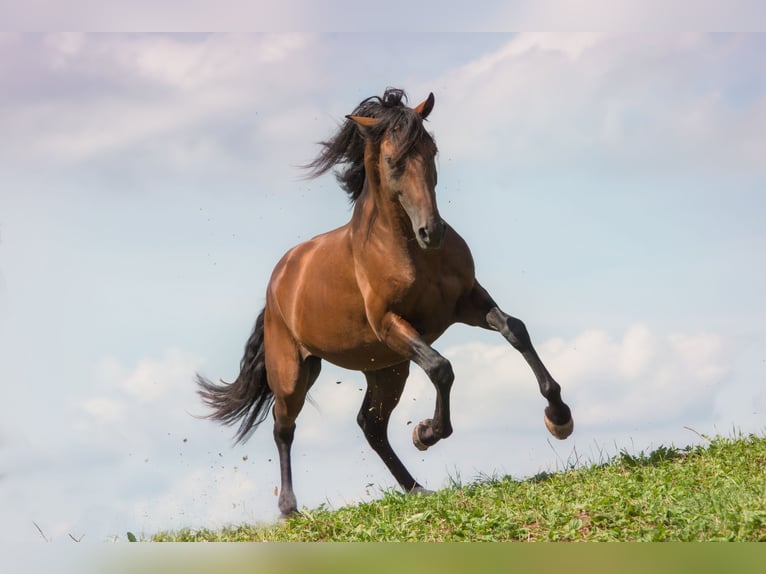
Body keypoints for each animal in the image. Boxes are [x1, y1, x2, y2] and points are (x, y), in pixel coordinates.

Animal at [201, 88, 572, 520]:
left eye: (431, 150)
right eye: (393, 160)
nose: (432, 232)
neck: (408, 250)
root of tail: (280, 278)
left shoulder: (467, 302)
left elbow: (515, 330)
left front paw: (559, 418)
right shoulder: (391, 324)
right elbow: (442, 367)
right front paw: (426, 432)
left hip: (386, 368)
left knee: (371, 425)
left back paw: (415, 488)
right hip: (295, 370)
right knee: (284, 427)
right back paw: (289, 508)